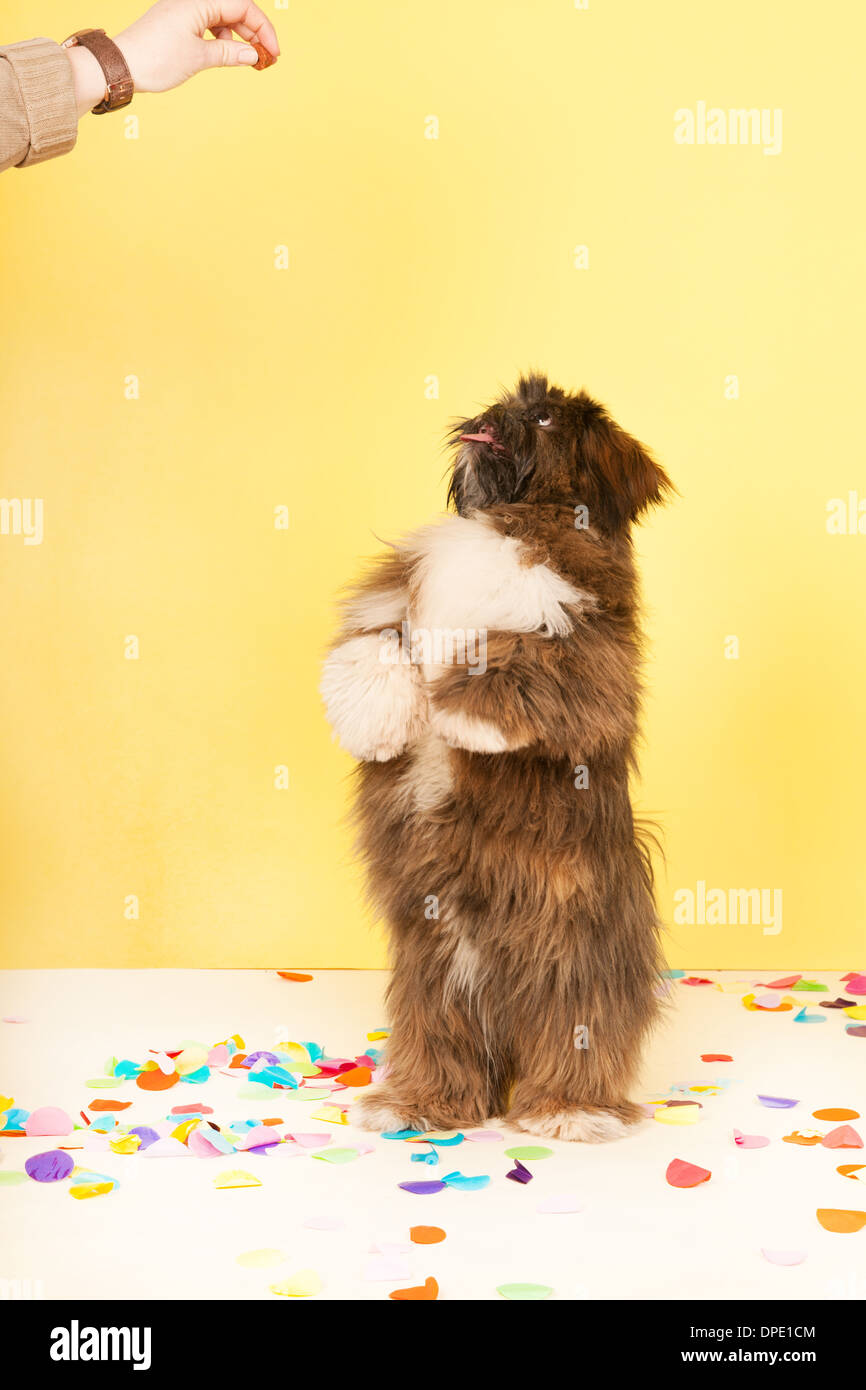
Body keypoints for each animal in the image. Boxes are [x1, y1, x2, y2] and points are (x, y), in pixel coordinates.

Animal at [322, 372, 675, 1139]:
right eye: (510, 402)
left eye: (541, 419)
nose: (489, 416)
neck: (513, 520)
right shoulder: (397, 600)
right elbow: (376, 641)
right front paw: (380, 717)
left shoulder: (590, 642)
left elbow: (519, 662)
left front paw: (456, 711)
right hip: (436, 961)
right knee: (443, 1040)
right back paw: (417, 1103)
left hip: (573, 962)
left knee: (578, 1035)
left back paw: (568, 1110)